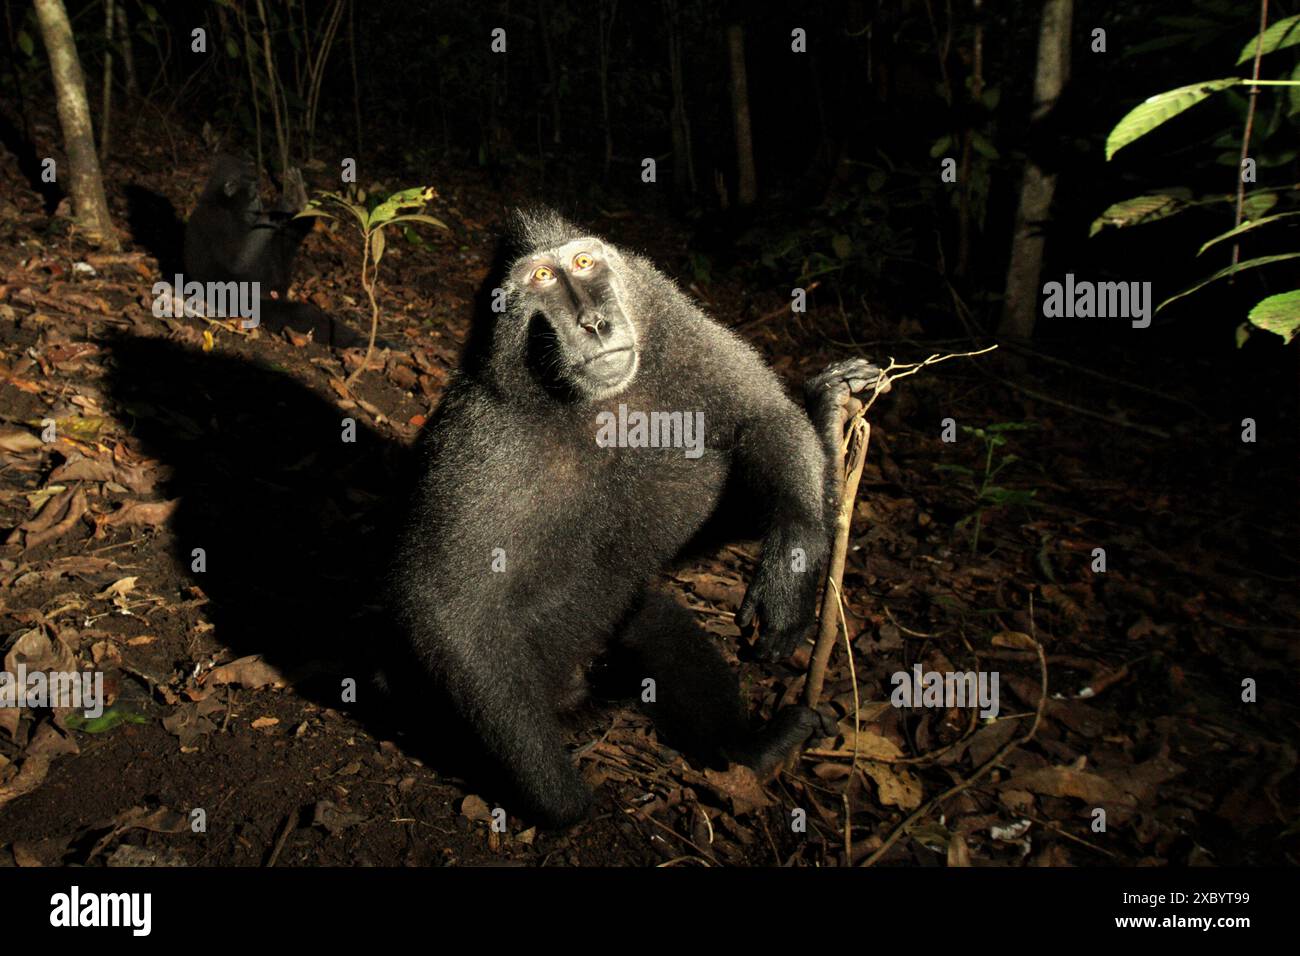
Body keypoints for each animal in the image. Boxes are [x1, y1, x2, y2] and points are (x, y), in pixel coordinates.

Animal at [183, 155, 367, 348]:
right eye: (253, 195)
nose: (260, 203)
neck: (223, 204)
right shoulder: (218, 221)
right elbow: (237, 263)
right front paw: (287, 201)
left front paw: (299, 200)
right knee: (298, 314)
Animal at [389, 209, 882, 826]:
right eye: (542, 277)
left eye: (583, 262)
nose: (595, 322)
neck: (598, 407)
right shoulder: (483, 439)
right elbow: (447, 608)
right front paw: (562, 803)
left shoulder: (680, 336)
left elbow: (763, 421)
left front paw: (790, 572)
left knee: (657, 626)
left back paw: (750, 750)